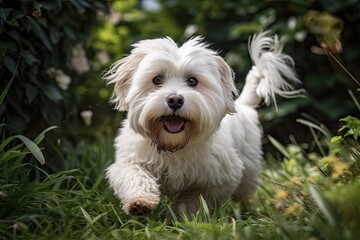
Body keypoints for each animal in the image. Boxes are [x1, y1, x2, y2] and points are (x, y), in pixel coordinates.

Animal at [105, 31, 304, 217]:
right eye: (157, 79)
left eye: (192, 81)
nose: (175, 100)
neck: (173, 145)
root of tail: (243, 105)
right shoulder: (130, 161)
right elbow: (134, 176)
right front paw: (140, 202)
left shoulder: (219, 178)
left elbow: (194, 201)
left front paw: (180, 219)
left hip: (249, 168)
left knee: (244, 192)